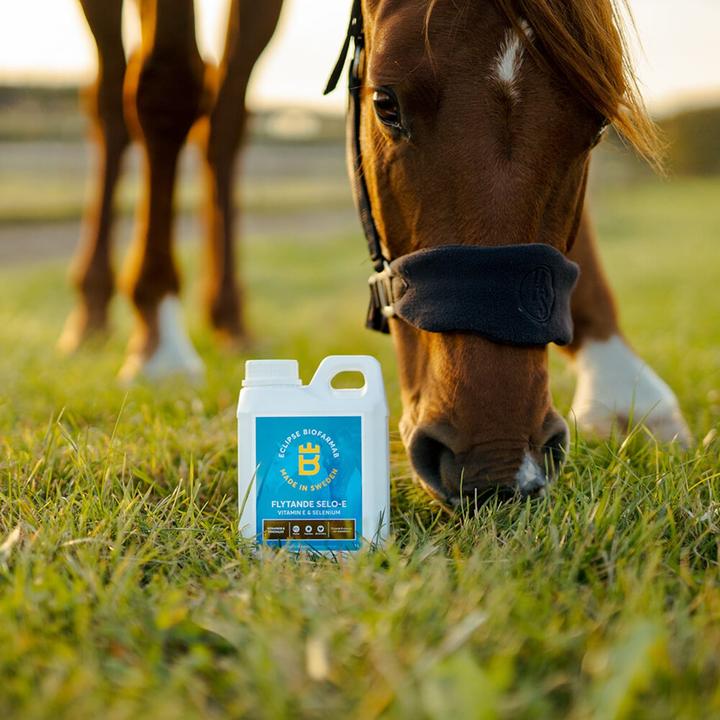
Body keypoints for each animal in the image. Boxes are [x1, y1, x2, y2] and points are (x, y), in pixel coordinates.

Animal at [58, 0, 284, 381]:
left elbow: (223, 116)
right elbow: (169, 78)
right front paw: (162, 338)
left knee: (224, 121)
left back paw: (230, 318)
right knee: (108, 100)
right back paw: (91, 314)